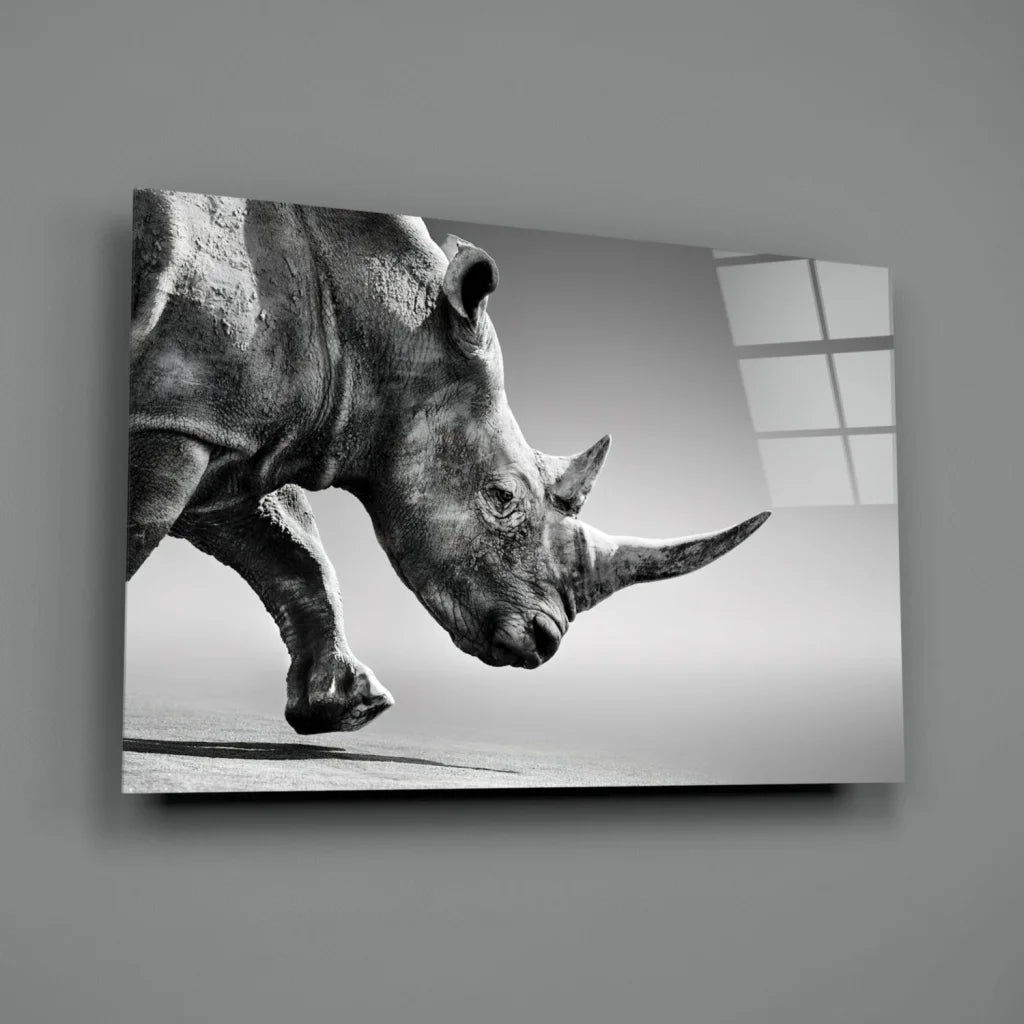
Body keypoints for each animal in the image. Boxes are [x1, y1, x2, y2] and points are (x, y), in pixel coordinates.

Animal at [128, 189, 769, 734]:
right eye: (502, 498)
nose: (546, 641)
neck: (385, 327)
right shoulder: (177, 417)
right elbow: (143, 529)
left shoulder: (221, 420)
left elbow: (288, 544)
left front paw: (350, 709)